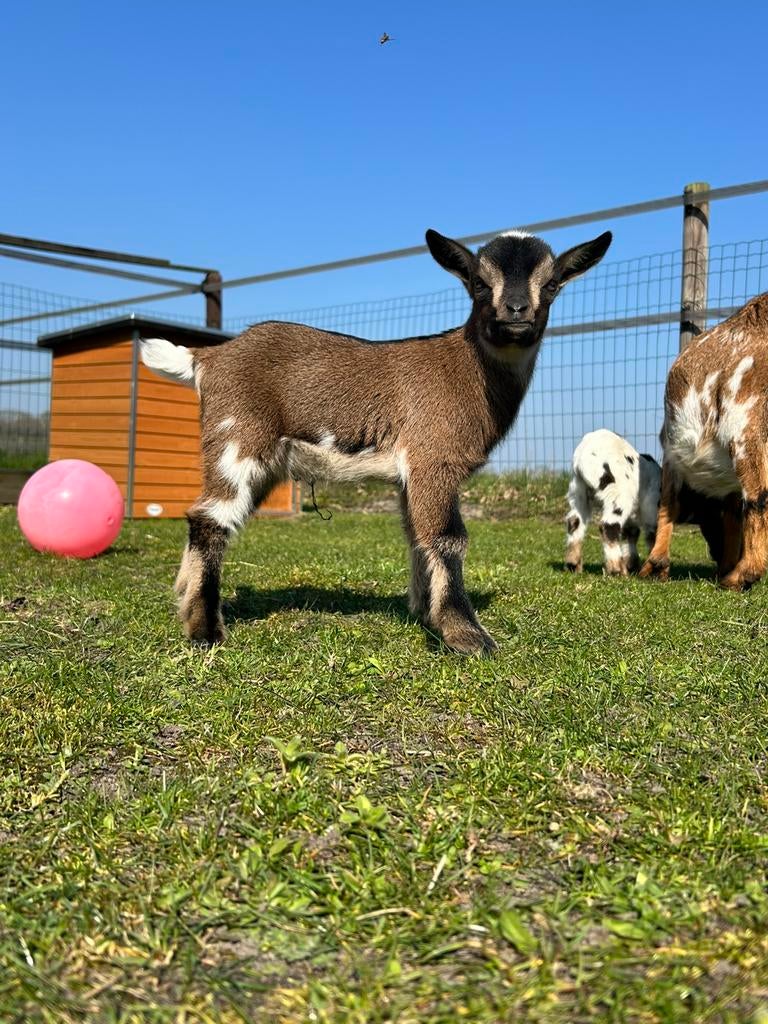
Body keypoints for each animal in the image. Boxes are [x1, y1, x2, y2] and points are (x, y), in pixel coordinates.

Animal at [141, 226, 611, 653]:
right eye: (479, 282)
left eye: (551, 284)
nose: (516, 311)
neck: (467, 371)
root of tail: (207, 358)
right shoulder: (433, 459)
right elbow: (448, 536)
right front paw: (466, 635)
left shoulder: (410, 475)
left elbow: (417, 535)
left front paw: (425, 614)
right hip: (238, 439)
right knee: (211, 518)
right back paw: (205, 633)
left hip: (264, 460)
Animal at [565, 429, 661, 575]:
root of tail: (582, 458)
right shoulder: (651, 507)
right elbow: (651, 534)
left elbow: (631, 534)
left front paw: (632, 566)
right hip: (618, 493)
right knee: (609, 525)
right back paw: (616, 570)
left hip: (577, 490)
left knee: (575, 521)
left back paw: (573, 565)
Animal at [639, 293, 768, 589]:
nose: (716, 556)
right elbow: (733, 511)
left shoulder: (670, 451)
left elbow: (668, 502)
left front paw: (654, 567)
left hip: (745, 421)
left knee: (758, 496)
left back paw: (741, 576)